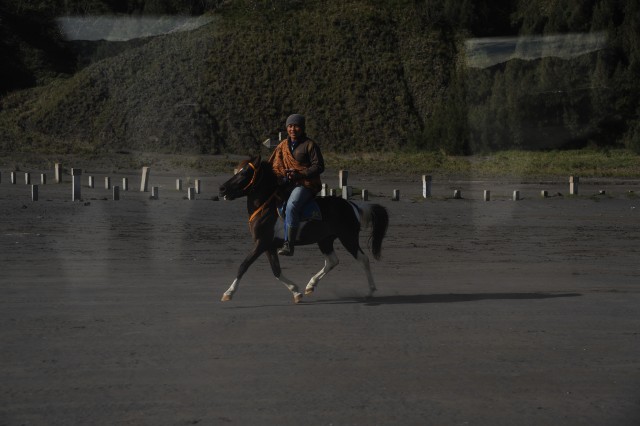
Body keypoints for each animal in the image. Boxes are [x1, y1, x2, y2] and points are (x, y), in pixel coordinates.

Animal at [218, 155, 388, 302]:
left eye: (245, 173)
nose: (222, 189)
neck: (265, 207)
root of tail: (352, 205)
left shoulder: (261, 243)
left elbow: (244, 265)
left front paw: (228, 292)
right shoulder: (269, 246)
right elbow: (276, 270)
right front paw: (296, 291)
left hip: (348, 238)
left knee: (363, 259)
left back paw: (370, 291)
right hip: (325, 240)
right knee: (332, 261)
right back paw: (311, 285)